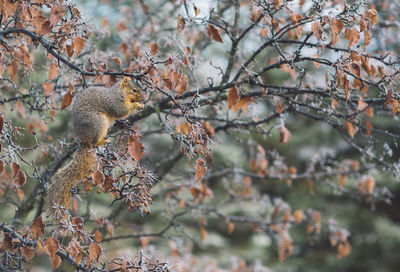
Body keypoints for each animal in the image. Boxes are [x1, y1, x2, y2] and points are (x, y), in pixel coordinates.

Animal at [46, 77, 145, 215]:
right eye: (134, 90)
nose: (143, 99)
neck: (120, 92)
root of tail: (83, 139)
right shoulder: (114, 101)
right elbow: (121, 111)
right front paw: (137, 105)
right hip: (99, 123)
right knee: (94, 141)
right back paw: (102, 142)